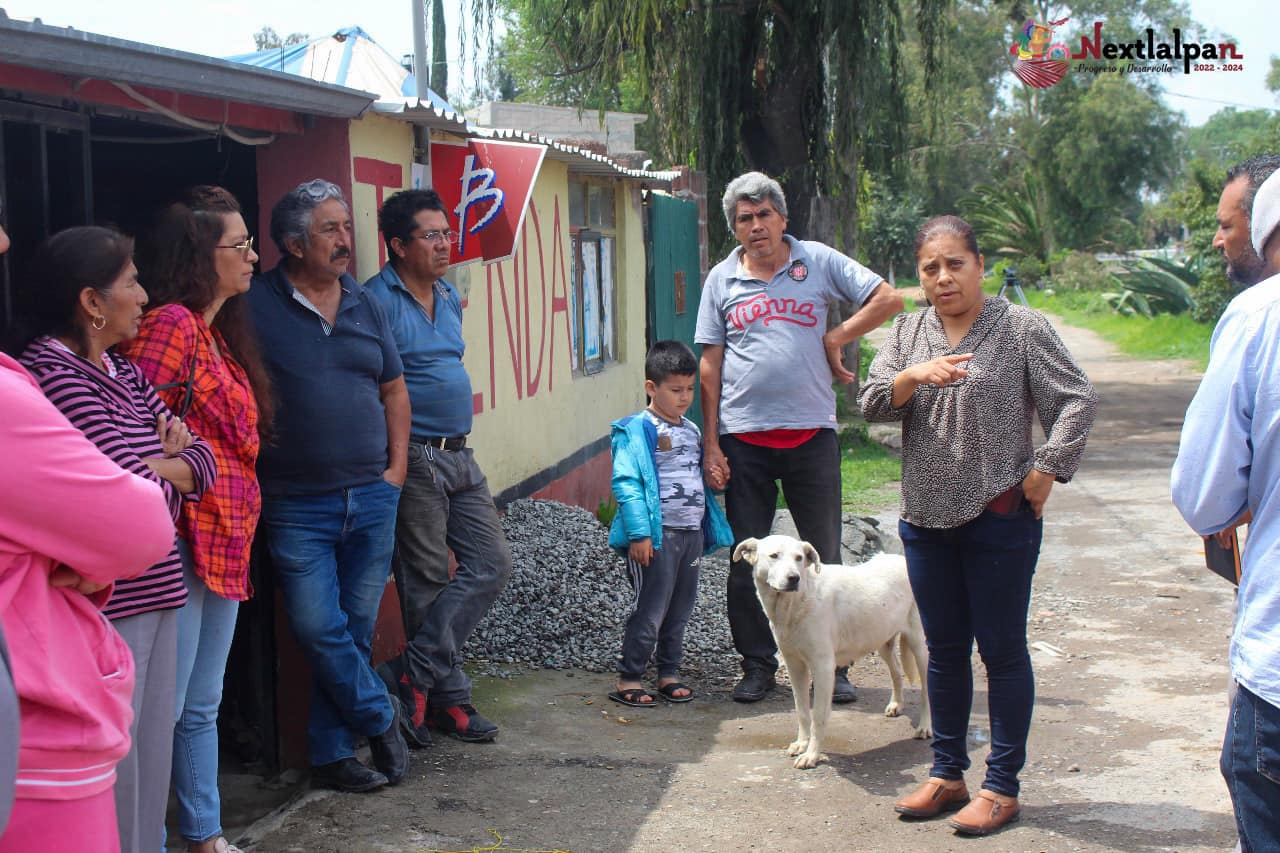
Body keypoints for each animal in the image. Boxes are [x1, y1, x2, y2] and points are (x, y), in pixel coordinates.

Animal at [737, 535, 936, 768]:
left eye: (799, 558)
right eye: (774, 555)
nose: (794, 578)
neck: (798, 600)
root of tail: (901, 559)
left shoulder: (823, 667)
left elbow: (818, 716)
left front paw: (812, 755)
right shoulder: (795, 665)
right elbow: (802, 710)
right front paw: (801, 744)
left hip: (919, 645)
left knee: (927, 689)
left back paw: (925, 726)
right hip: (881, 639)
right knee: (896, 672)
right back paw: (896, 704)